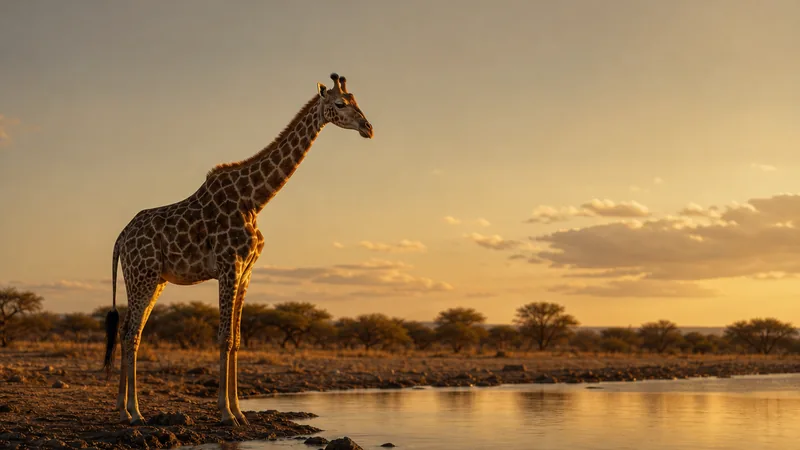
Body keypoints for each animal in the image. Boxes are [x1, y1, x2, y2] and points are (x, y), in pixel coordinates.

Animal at [102, 73, 373, 426]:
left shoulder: (246, 271)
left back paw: (124, 408)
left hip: (153, 279)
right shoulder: (229, 265)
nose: (368, 127)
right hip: (142, 276)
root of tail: (121, 237)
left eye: (356, 101)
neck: (254, 199)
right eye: (340, 104)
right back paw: (134, 412)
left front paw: (240, 412)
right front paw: (226, 412)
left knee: (127, 331)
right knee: (132, 332)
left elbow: (237, 339)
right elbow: (224, 337)